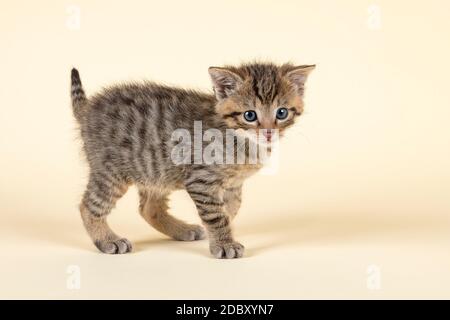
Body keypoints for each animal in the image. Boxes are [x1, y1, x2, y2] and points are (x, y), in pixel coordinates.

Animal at [71, 62, 316, 258]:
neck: (241, 140)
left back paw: (181, 230)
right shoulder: (201, 179)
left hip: (156, 170)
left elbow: (231, 208)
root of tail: (88, 108)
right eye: (250, 115)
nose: (268, 132)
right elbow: (216, 215)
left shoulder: (233, 184)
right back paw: (107, 240)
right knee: (87, 206)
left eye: (281, 113)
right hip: (112, 172)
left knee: (148, 208)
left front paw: (222, 232)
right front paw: (224, 243)